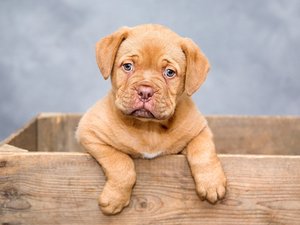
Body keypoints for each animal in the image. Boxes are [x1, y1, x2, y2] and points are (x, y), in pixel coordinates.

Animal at [76, 24, 226, 214]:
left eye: (169, 72)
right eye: (128, 66)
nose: (145, 91)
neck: (149, 128)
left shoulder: (199, 130)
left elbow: (203, 151)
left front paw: (211, 183)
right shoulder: (90, 132)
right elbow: (121, 163)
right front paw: (115, 199)